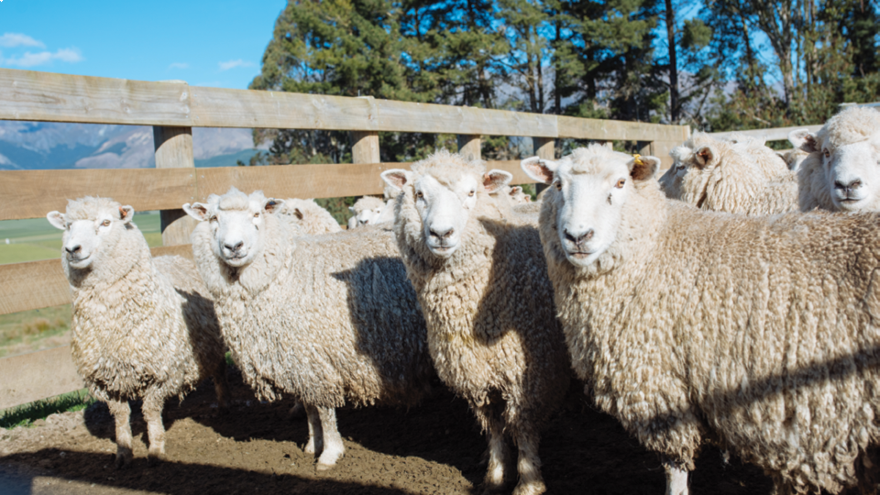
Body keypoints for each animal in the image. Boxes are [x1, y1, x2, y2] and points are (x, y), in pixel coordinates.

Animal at [46, 198, 229, 468]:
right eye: (67, 226)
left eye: (106, 222)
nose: (72, 249)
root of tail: (174, 256)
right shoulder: (104, 379)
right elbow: (121, 416)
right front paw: (123, 452)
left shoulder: (162, 372)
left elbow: (150, 412)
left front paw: (155, 449)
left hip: (212, 346)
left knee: (218, 373)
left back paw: (223, 404)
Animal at [182, 188, 434, 470]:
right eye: (213, 218)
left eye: (256, 214)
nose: (234, 247)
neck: (284, 273)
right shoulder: (299, 362)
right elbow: (310, 408)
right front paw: (313, 444)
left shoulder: (315, 358)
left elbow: (323, 409)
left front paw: (330, 453)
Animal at [382, 151, 568, 495]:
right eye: (419, 195)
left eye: (471, 192)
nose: (441, 234)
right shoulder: (475, 373)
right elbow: (492, 424)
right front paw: (495, 475)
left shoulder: (528, 375)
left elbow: (522, 427)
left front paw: (528, 482)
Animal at [524, 143, 880, 495]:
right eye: (558, 185)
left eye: (620, 183)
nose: (578, 236)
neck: (654, 249)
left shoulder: (661, 387)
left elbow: (675, 467)